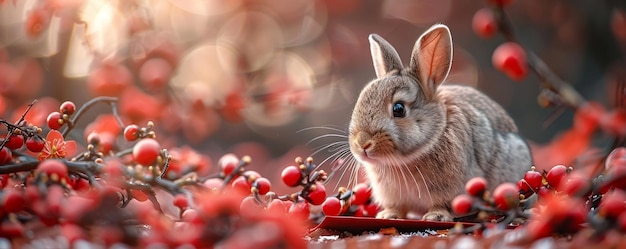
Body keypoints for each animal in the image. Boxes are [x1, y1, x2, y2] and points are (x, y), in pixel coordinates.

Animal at [348, 23, 528, 222]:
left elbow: (442, 205)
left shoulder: (454, 189)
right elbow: (397, 207)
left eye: (398, 109)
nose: (362, 143)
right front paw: (389, 215)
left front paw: (435, 216)